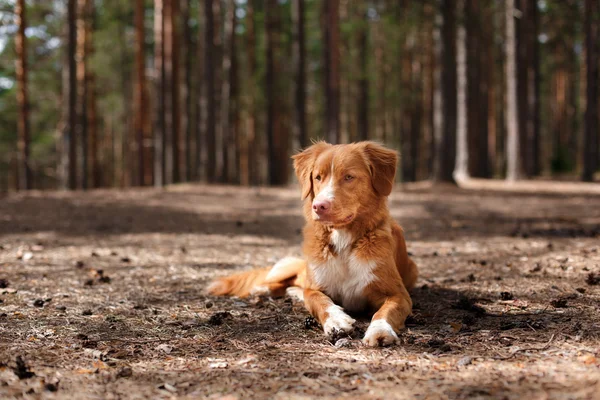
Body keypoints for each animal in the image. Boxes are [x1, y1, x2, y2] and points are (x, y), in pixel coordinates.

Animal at [209, 141, 420, 346]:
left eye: (349, 177)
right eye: (318, 177)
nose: (319, 206)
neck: (343, 240)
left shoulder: (398, 294)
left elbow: (385, 311)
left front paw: (380, 330)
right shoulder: (315, 287)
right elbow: (319, 300)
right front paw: (336, 320)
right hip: (289, 268)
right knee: (290, 282)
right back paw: (263, 289)